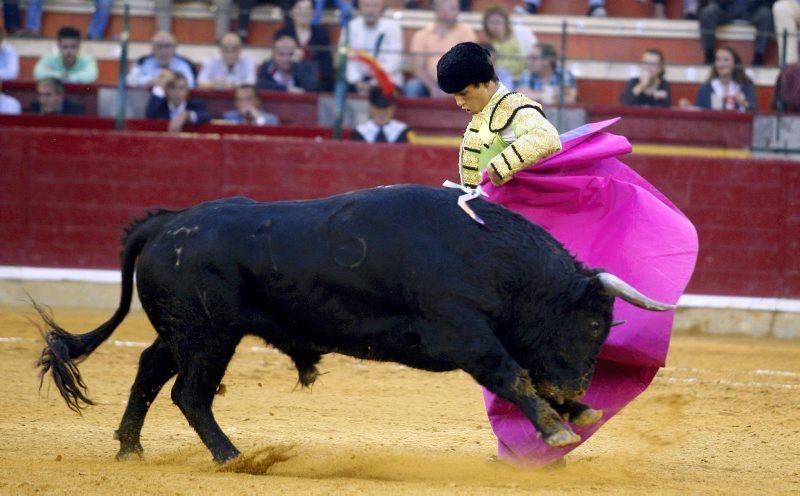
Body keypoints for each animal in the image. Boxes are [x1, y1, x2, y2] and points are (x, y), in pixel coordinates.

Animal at [37, 184, 676, 464]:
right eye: (593, 326)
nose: (577, 387)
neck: (487, 254)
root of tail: (167, 223)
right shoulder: (464, 336)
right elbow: (512, 373)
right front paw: (559, 428)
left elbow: (521, 372)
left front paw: (578, 412)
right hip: (210, 334)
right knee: (190, 393)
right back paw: (233, 457)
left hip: (185, 332)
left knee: (149, 370)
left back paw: (130, 450)